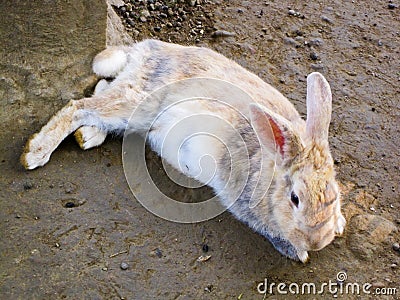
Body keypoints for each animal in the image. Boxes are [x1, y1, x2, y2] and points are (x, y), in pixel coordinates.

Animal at [21, 39, 346, 260]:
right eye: (295, 199)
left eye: (334, 194)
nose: (317, 241)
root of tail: (144, 50)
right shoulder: (239, 199)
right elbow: (264, 227)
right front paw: (297, 251)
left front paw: (339, 225)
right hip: (137, 105)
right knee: (79, 106)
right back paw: (35, 153)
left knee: (101, 89)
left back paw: (88, 136)